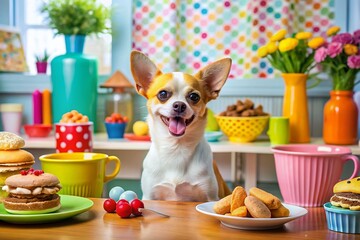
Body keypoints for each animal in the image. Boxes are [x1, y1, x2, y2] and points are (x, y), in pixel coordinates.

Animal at [131, 50, 232, 201]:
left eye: (194, 97)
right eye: (162, 94)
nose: (179, 105)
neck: (176, 148)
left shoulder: (211, 197)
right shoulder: (149, 196)